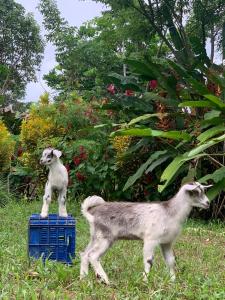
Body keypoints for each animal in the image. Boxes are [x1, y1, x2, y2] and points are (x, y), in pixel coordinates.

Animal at [80, 182, 211, 284]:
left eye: (203, 190)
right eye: (195, 192)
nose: (208, 203)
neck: (170, 212)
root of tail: (91, 213)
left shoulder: (167, 242)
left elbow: (171, 261)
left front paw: (173, 281)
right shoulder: (151, 239)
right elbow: (149, 261)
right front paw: (145, 281)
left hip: (95, 237)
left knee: (84, 254)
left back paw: (83, 279)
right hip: (105, 237)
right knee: (93, 256)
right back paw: (105, 280)